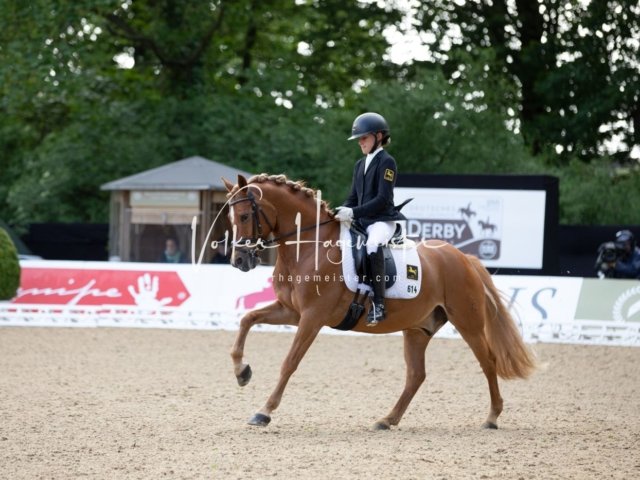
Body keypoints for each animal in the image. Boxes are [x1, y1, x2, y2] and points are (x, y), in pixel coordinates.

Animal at [222, 173, 535, 430]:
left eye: (245, 216)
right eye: (231, 218)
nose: (239, 261)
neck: (310, 247)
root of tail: (464, 258)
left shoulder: (312, 317)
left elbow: (289, 362)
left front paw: (264, 411)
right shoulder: (291, 311)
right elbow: (247, 320)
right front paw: (241, 372)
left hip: (468, 323)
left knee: (488, 362)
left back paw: (492, 417)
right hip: (418, 328)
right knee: (416, 375)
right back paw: (387, 420)